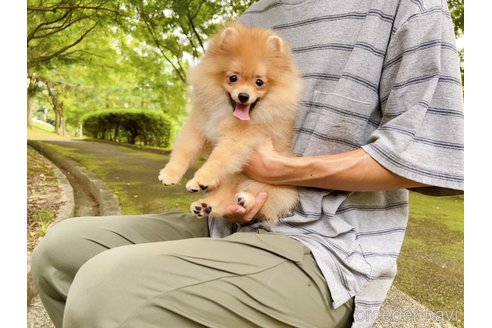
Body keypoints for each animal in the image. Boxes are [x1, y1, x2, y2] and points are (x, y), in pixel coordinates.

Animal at [160, 22, 302, 226]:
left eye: (259, 82)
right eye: (233, 78)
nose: (243, 96)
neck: (226, 113)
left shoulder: (239, 138)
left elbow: (218, 158)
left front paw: (201, 178)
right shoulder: (199, 125)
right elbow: (185, 149)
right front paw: (170, 173)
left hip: (266, 183)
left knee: (260, 198)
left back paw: (245, 200)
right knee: (224, 199)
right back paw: (204, 206)